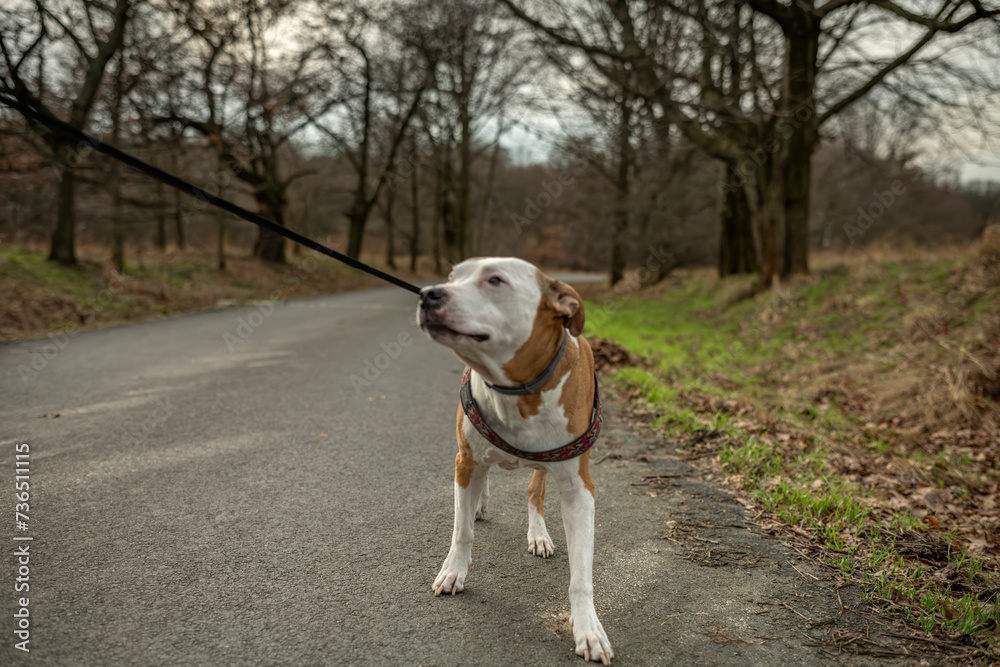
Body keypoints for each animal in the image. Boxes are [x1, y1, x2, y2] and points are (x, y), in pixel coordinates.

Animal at [418, 258, 612, 664]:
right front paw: (454, 571)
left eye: (495, 280)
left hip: (545, 466)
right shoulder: (465, 460)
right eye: (452, 277)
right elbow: (461, 530)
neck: (517, 389)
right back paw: (480, 502)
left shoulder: (579, 488)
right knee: (485, 475)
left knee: (533, 490)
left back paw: (538, 533)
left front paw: (588, 628)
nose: (428, 294)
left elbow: (581, 572)